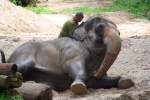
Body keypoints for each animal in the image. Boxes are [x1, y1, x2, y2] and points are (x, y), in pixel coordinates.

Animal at [0, 16, 134, 94]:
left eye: (119, 32)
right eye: (100, 28)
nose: (95, 74)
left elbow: (94, 82)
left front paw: (125, 81)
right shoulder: (72, 51)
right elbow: (71, 66)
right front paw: (78, 86)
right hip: (23, 55)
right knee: (20, 66)